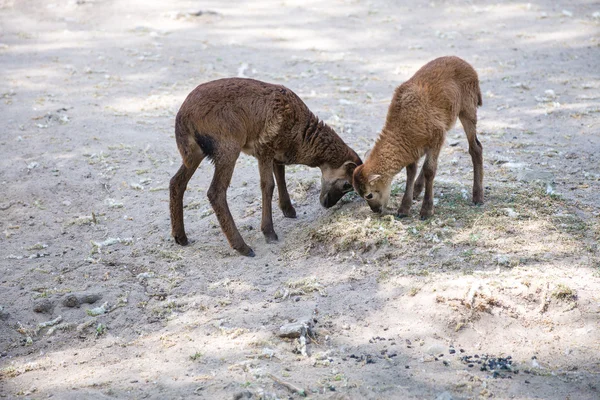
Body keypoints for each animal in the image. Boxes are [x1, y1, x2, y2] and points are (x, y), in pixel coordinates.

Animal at [169, 78, 360, 256]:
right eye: (347, 184)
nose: (327, 204)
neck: (300, 138)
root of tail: (183, 117)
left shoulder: (276, 154)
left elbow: (281, 177)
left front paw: (289, 210)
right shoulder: (264, 149)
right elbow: (268, 185)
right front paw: (269, 233)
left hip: (196, 151)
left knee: (176, 182)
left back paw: (181, 237)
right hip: (227, 147)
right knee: (215, 192)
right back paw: (243, 247)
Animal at [354, 55, 486, 219]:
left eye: (369, 195)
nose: (376, 210)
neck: (403, 121)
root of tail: (465, 64)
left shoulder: (436, 137)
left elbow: (429, 170)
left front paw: (426, 211)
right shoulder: (416, 146)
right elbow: (412, 171)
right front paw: (404, 209)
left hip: (467, 111)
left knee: (475, 148)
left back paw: (478, 197)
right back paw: (417, 191)